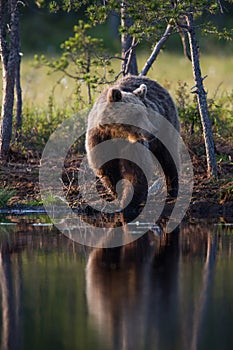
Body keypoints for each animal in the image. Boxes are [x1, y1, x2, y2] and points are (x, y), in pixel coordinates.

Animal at [85, 75, 180, 211]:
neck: (116, 134)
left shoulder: (132, 145)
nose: (153, 131)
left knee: (168, 157)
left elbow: (136, 169)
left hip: (166, 125)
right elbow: (107, 168)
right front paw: (118, 194)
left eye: (145, 113)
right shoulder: (100, 140)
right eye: (136, 114)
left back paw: (172, 190)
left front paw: (130, 201)